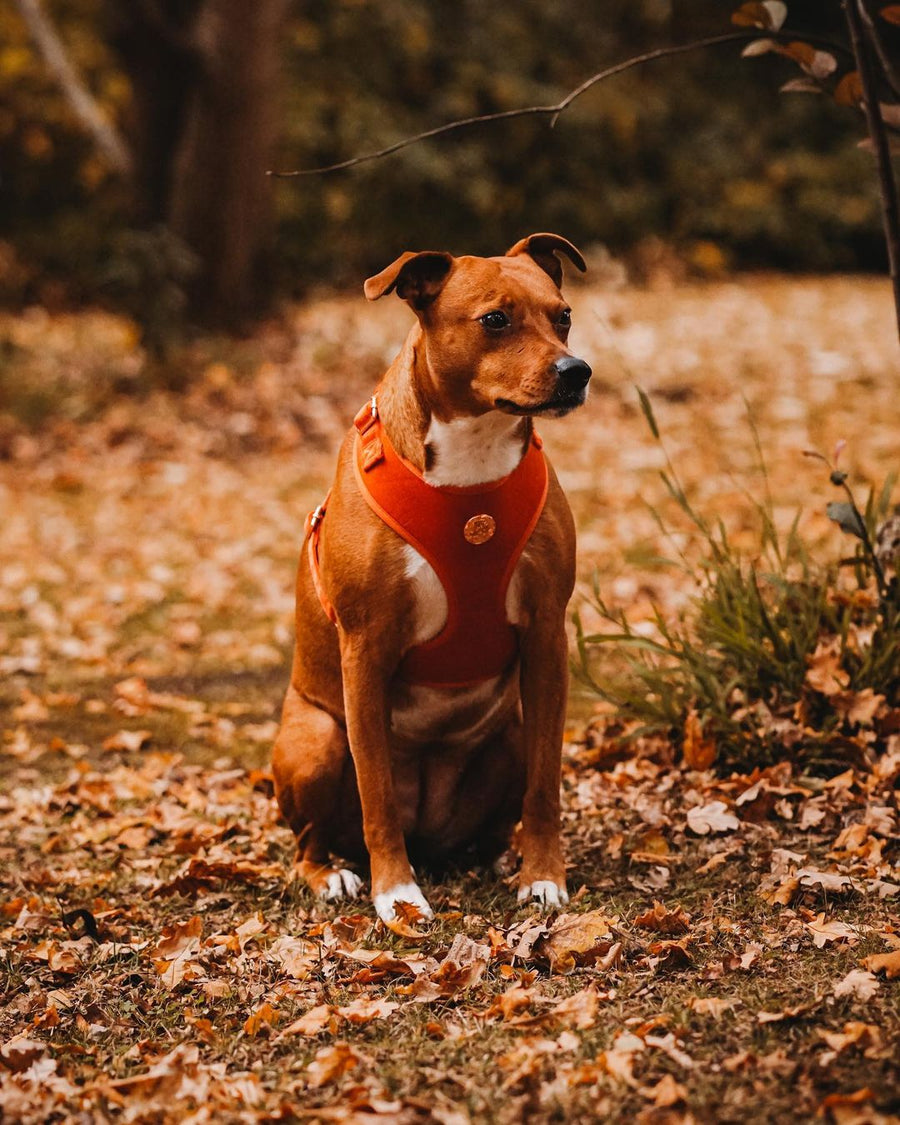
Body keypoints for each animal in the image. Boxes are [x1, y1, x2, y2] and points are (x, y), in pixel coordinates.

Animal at [272, 232, 589, 918]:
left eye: (564, 316)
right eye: (494, 320)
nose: (576, 371)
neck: (473, 460)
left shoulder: (547, 638)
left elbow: (546, 786)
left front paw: (543, 875)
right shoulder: (365, 651)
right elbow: (377, 794)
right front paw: (397, 892)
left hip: (511, 731)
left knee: (496, 815)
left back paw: (497, 858)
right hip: (317, 739)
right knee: (312, 839)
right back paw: (332, 875)